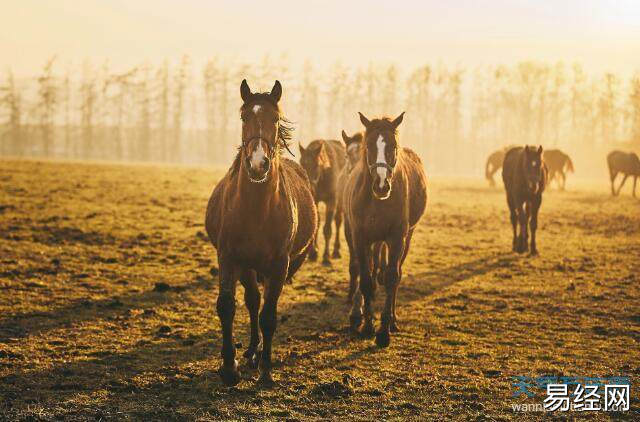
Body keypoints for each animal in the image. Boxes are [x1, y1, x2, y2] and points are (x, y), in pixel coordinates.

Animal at [204, 79, 316, 386]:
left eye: (275, 119)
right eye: (244, 117)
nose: (257, 163)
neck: (256, 208)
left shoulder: (279, 265)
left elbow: (269, 315)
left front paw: (266, 370)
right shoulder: (229, 258)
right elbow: (227, 306)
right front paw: (229, 367)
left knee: (261, 304)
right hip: (247, 266)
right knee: (252, 301)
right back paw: (252, 350)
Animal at [342, 111, 428, 346]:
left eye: (393, 146)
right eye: (369, 146)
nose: (381, 186)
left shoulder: (397, 238)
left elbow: (391, 278)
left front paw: (383, 331)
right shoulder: (360, 237)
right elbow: (365, 279)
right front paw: (366, 324)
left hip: (407, 236)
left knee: (396, 273)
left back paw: (393, 320)